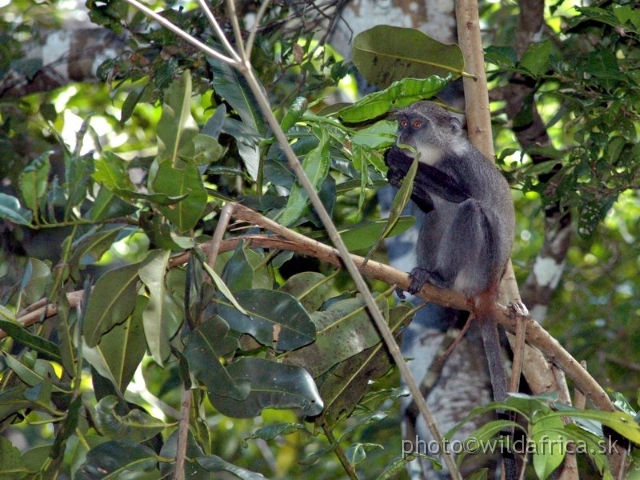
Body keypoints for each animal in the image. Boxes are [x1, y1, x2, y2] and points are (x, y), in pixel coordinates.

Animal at [384, 100, 520, 476]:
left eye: (417, 123)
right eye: (403, 121)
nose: (402, 134)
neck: (438, 154)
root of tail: (489, 289)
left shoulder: (458, 166)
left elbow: (462, 195)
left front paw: (397, 160)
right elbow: (430, 206)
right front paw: (396, 175)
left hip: (476, 266)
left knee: (468, 208)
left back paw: (439, 279)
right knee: (436, 215)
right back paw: (423, 276)